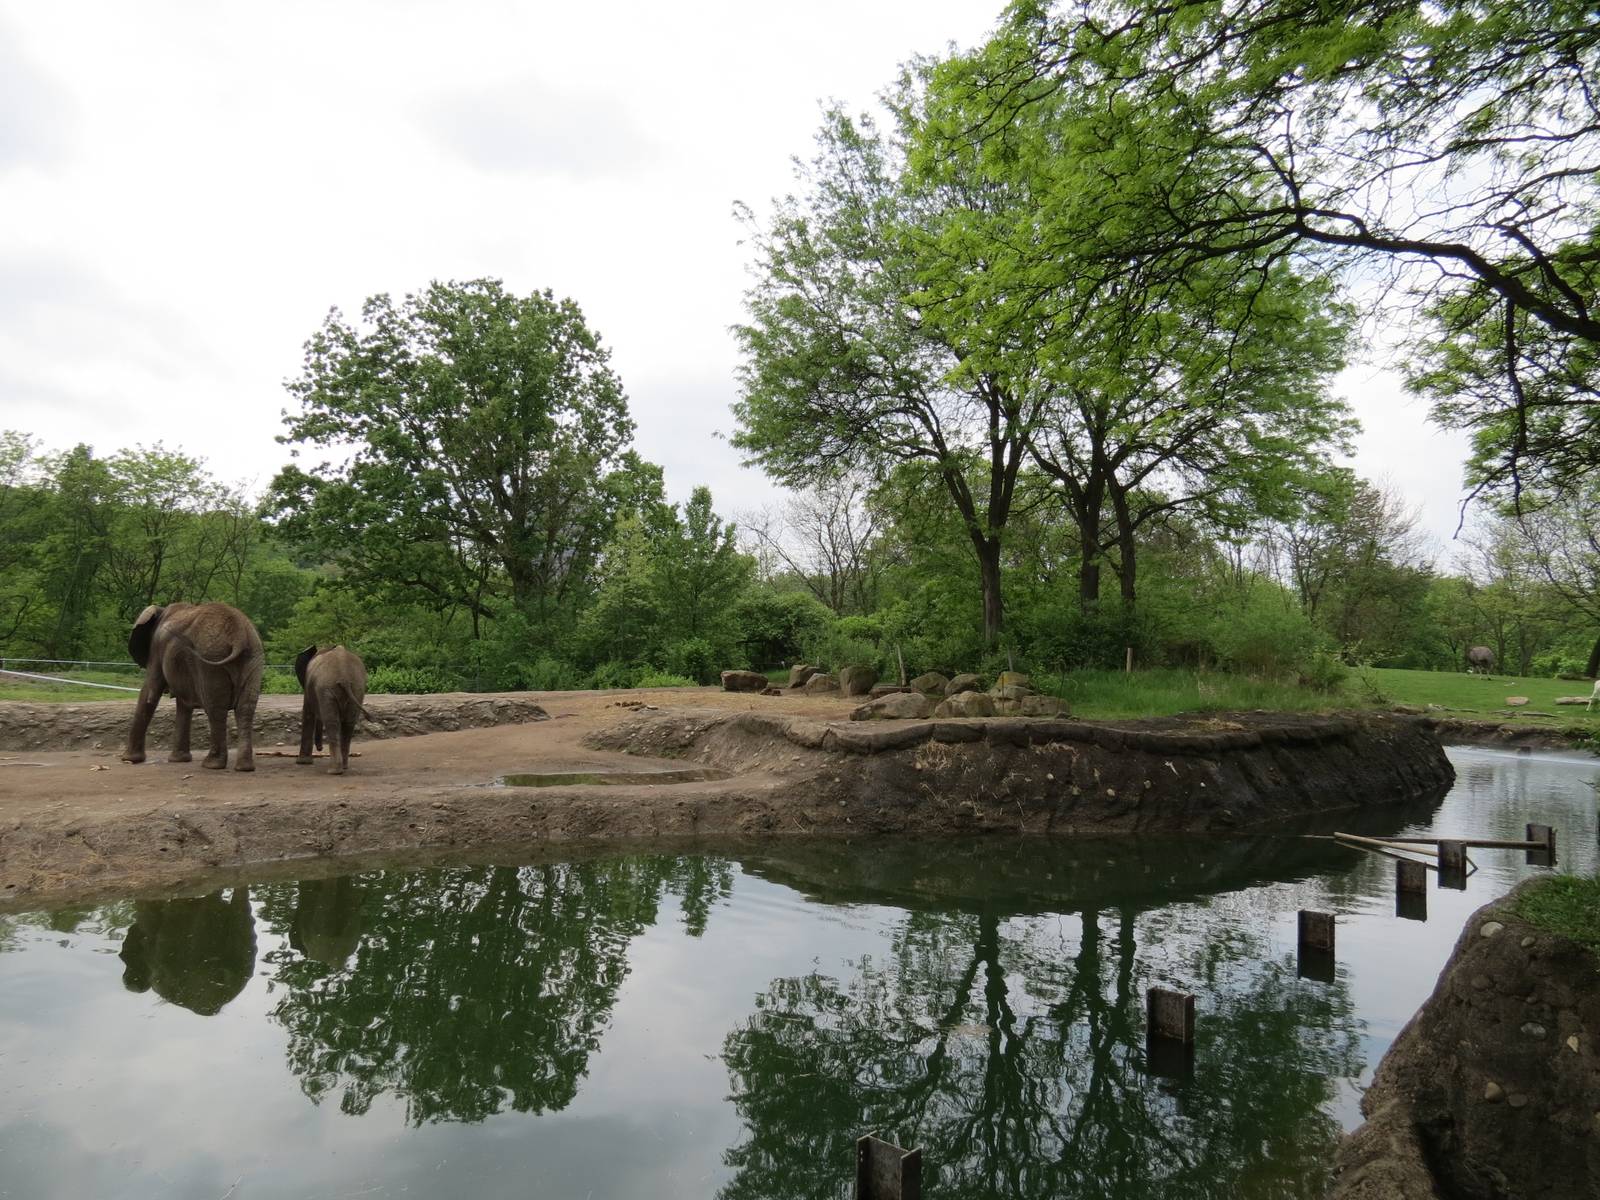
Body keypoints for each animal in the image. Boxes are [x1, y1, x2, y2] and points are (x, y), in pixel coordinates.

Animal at [123, 602, 264, 771]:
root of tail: (239, 635)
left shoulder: (157, 648)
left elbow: (150, 692)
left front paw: (129, 760)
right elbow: (183, 704)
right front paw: (179, 760)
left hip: (211, 658)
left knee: (215, 708)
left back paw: (211, 764)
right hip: (253, 657)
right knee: (245, 708)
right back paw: (244, 767)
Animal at [295, 645, 369, 775]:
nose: (320, 748)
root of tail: (344, 677)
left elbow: (308, 713)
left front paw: (302, 762)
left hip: (326, 688)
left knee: (332, 722)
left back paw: (334, 771)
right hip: (357, 688)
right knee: (348, 724)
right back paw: (343, 767)